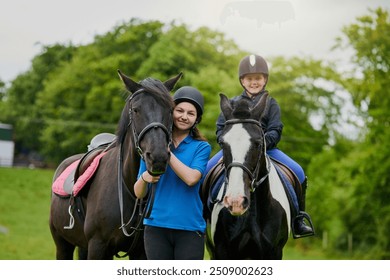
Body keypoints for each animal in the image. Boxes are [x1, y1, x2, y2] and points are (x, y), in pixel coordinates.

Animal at [49, 71, 182, 260]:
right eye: (136, 110)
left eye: (171, 110)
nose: (158, 157)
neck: (129, 188)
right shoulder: (98, 246)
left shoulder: (141, 252)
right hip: (63, 245)